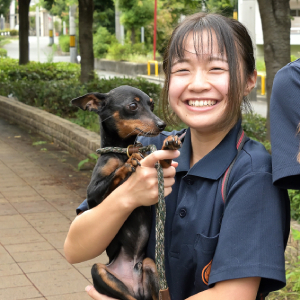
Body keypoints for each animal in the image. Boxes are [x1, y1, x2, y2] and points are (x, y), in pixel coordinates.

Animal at [72, 85, 182, 300]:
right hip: (99, 271)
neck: (123, 150)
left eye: (152, 105)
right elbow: (113, 175)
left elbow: (160, 161)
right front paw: (128, 164)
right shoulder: (92, 197)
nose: (162, 124)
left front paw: (168, 145)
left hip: (149, 265)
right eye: (132, 106)